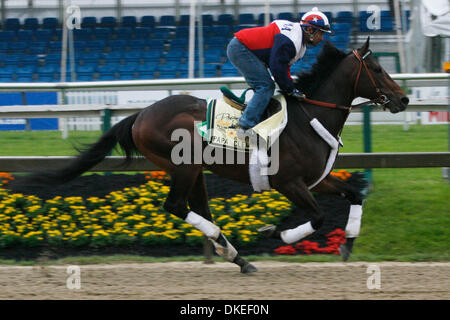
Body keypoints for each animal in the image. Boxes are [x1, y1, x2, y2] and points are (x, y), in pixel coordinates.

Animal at [25, 37, 408, 272]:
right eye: (377, 69)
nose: (403, 99)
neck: (308, 117)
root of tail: (141, 114)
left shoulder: (317, 180)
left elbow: (354, 194)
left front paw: (348, 244)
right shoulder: (289, 183)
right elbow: (316, 218)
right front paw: (273, 232)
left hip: (195, 171)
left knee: (196, 209)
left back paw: (235, 255)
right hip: (183, 166)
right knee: (176, 206)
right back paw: (230, 248)